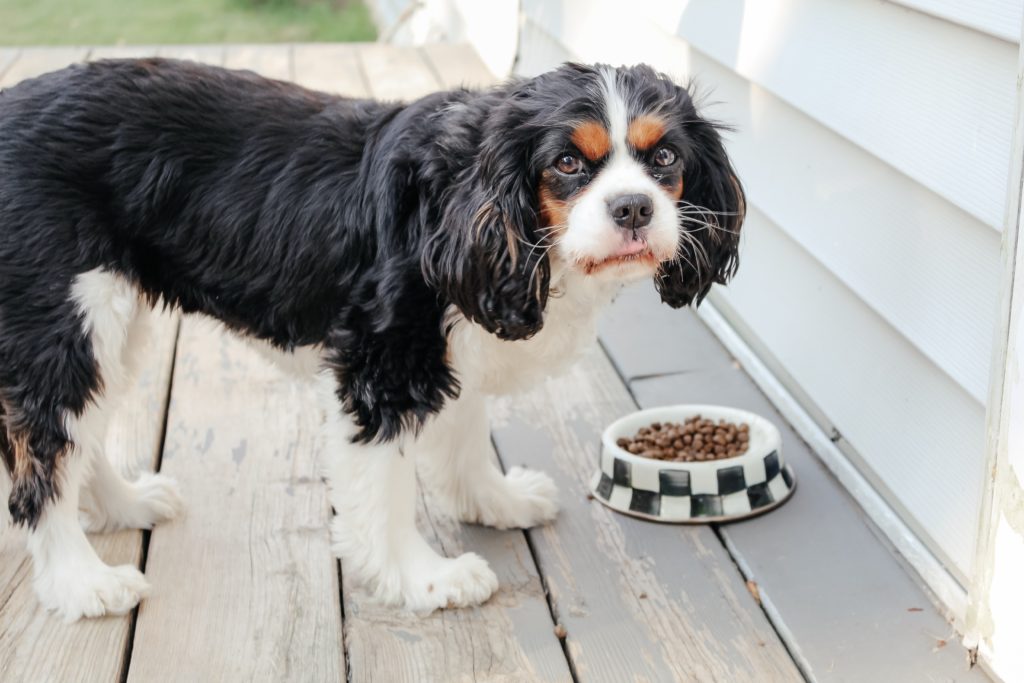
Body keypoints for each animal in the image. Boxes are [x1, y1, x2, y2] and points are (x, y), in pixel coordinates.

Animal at [0, 58, 741, 622]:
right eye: (566, 162)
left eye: (665, 156)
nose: (633, 207)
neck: (463, 188)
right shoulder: (383, 363)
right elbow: (386, 489)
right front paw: (422, 578)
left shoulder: (458, 338)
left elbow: (466, 437)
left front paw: (494, 502)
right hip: (61, 320)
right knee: (42, 465)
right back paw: (82, 581)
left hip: (107, 321)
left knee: (80, 435)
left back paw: (123, 505)